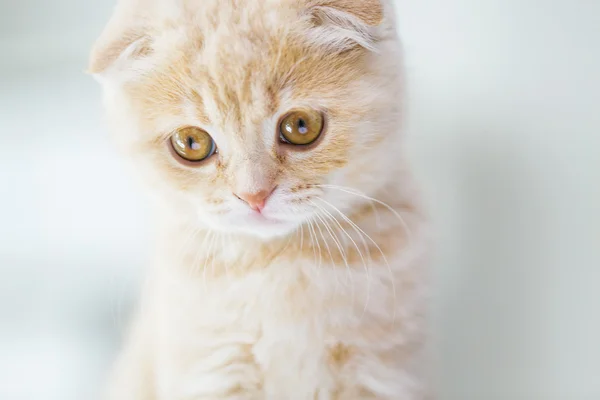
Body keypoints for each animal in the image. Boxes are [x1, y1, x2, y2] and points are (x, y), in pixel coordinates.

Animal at [89, 0, 428, 400]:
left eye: (301, 126)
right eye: (192, 143)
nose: (254, 194)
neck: (282, 264)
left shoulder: (382, 370)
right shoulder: (210, 369)